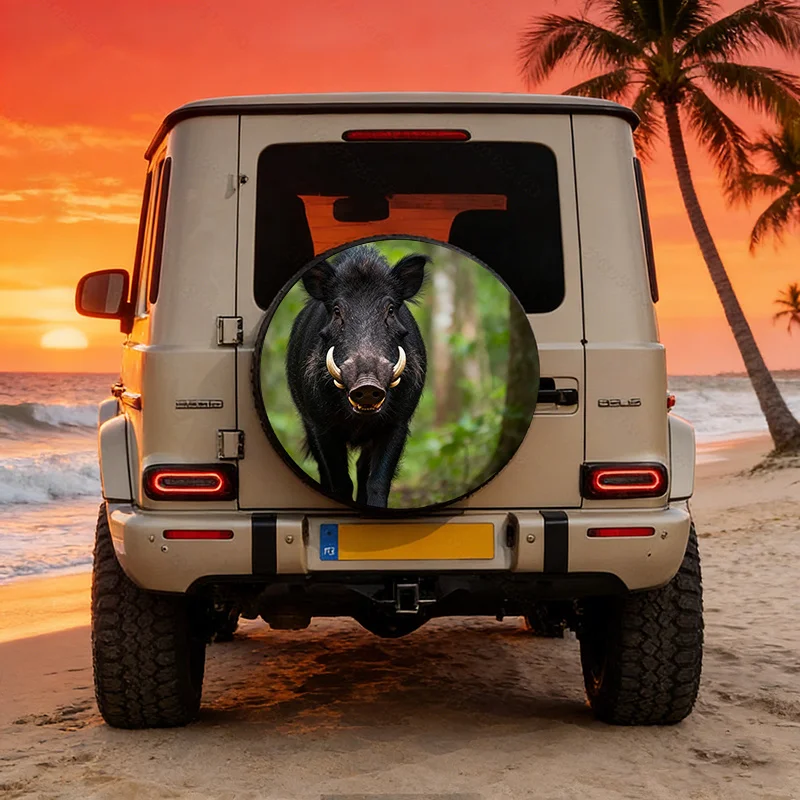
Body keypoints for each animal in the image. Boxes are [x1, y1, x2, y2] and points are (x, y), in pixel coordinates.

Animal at [286, 245, 428, 507]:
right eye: (337, 311)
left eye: (390, 310)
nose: (367, 384)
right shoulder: (321, 425)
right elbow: (340, 481)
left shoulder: (398, 423)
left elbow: (377, 482)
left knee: (363, 469)